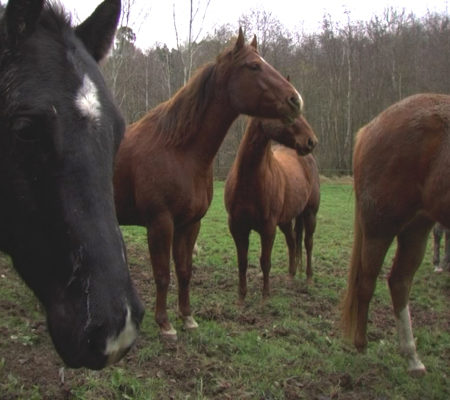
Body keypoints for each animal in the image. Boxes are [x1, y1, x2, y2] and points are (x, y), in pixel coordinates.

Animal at [114, 29, 302, 340]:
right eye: (253, 66)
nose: (295, 100)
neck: (177, 150)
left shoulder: (190, 224)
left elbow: (184, 271)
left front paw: (187, 318)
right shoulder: (160, 223)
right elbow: (162, 274)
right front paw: (165, 324)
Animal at [225, 113, 320, 304]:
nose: (311, 141)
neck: (248, 182)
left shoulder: (268, 228)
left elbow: (265, 261)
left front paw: (265, 297)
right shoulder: (237, 227)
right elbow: (242, 262)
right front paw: (241, 298)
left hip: (310, 214)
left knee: (308, 243)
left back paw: (309, 278)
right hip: (285, 221)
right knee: (292, 241)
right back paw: (290, 276)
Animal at [342, 93, 450, 376]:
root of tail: (369, 128)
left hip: (416, 227)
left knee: (399, 281)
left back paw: (412, 357)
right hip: (381, 226)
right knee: (368, 282)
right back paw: (362, 343)